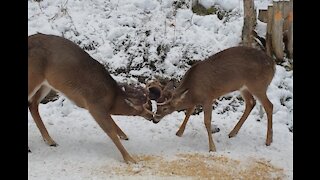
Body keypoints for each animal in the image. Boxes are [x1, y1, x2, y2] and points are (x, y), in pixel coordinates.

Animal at [28, 33, 156, 164]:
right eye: (146, 106)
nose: (152, 116)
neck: (112, 99)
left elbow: (113, 124)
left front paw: (124, 135)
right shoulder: (95, 106)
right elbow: (110, 131)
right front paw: (129, 159)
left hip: (46, 84)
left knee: (33, 104)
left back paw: (50, 140)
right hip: (33, 76)